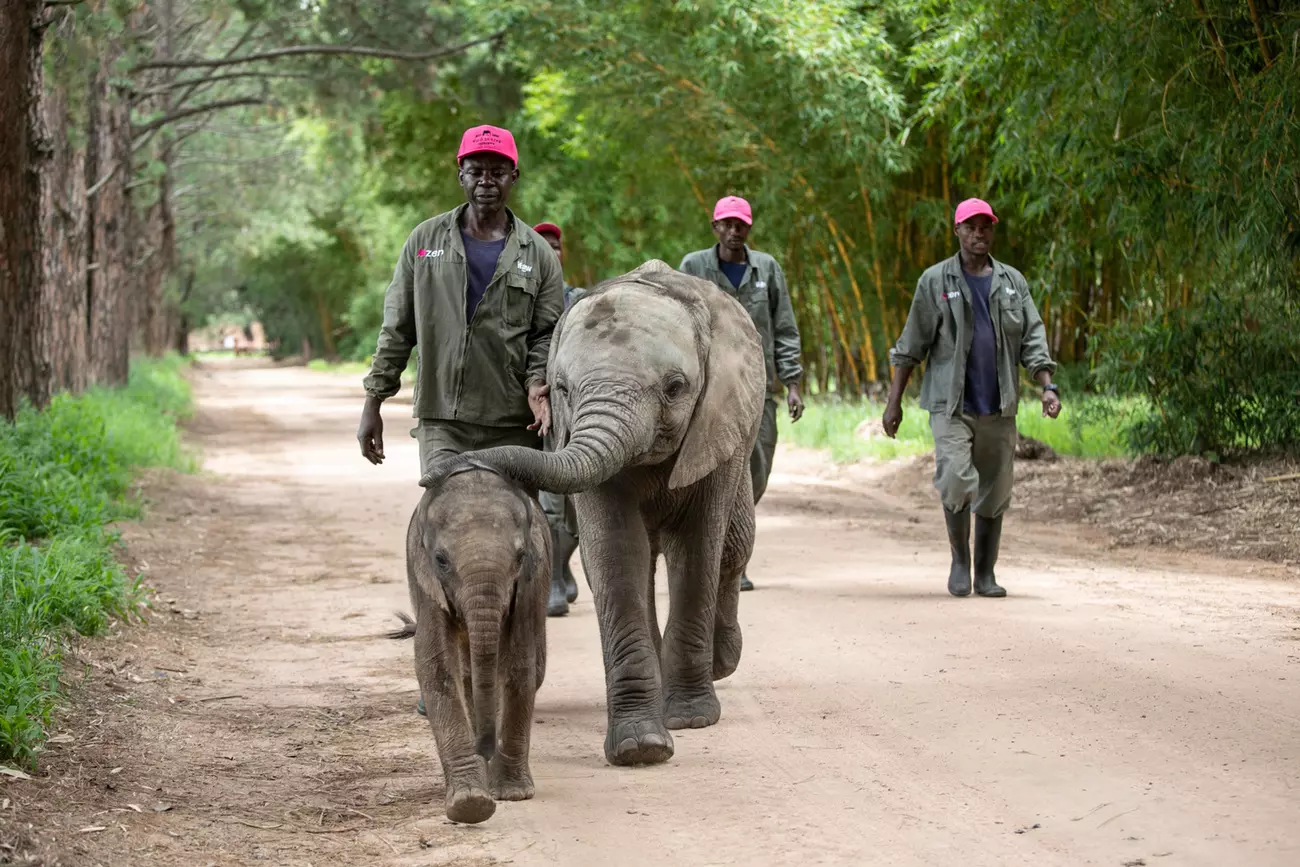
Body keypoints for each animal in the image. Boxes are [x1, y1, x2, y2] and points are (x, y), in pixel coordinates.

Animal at [384, 457, 548, 826]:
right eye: (441, 560)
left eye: (521, 557)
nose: (483, 749)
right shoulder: (425, 582)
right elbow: (436, 666)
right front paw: (471, 804)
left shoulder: (528, 587)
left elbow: (519, 664)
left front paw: (512, 794)